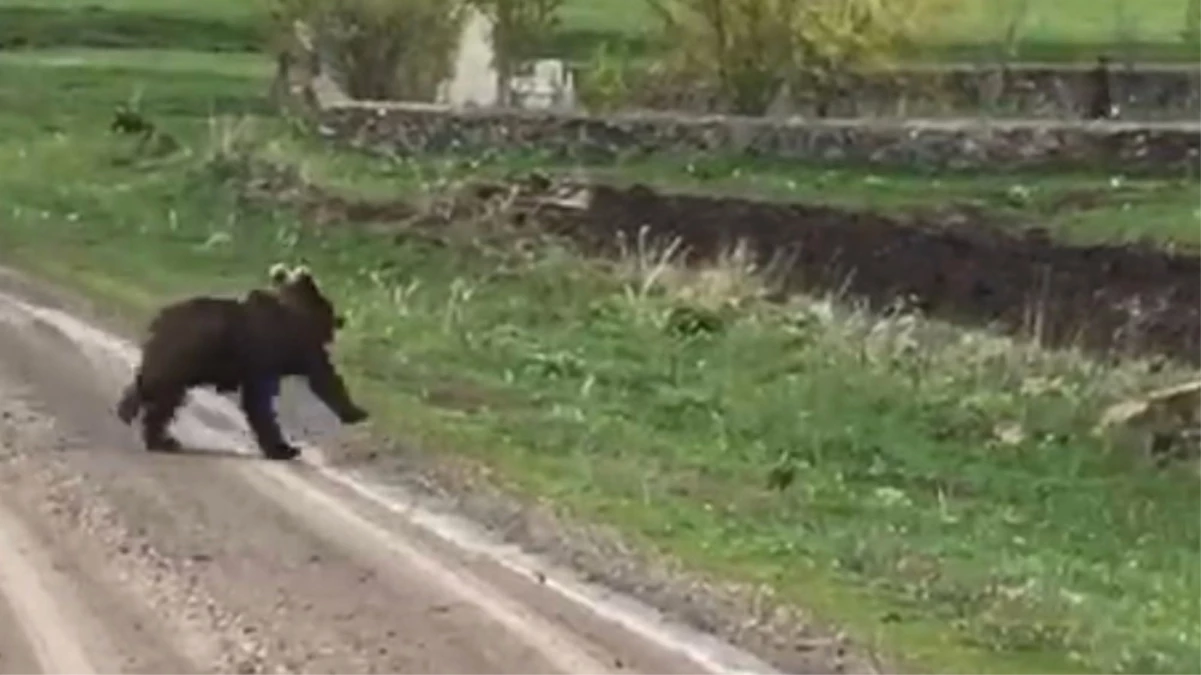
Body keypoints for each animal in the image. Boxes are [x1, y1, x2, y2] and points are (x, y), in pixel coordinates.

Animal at [120, 263, 369, 456]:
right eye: (330, 308)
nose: (340, 321)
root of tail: (158, 321)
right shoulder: (270, 358)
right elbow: (265, 402)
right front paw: (283, 449)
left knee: (154, 390)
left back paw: (137, 419)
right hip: (179, 359)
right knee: (163, 397)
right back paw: (159, 438)